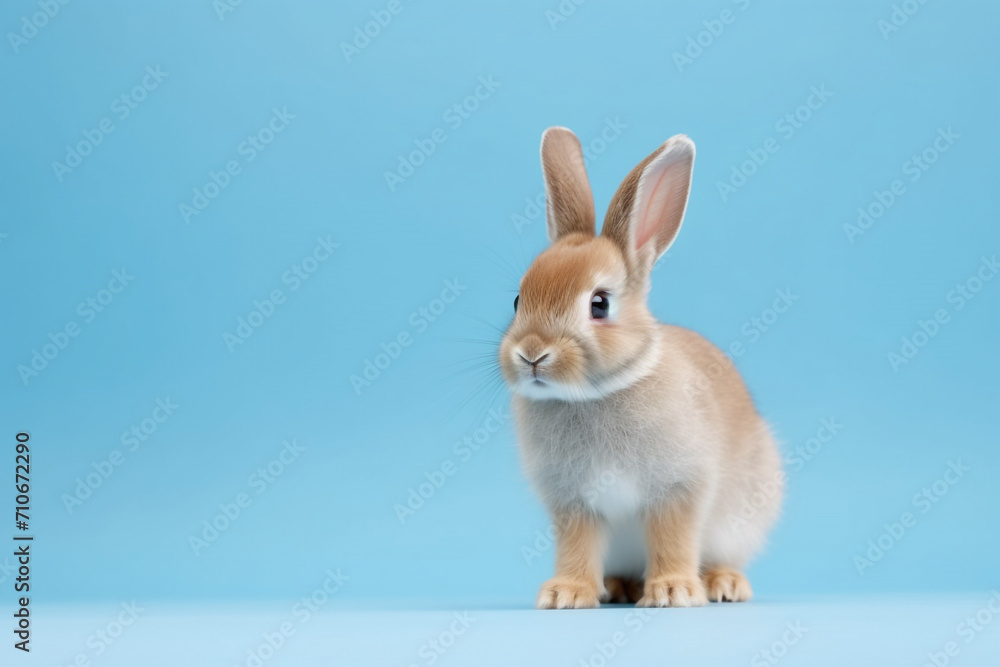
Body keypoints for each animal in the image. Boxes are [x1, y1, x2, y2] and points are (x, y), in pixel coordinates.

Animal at [498, 128, 783, 609]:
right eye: (519, 300)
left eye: (599, 304)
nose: (532, 353)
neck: (596, 394)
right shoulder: (575, 504)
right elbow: (577, 547)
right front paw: (566, 594)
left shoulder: (678, 489)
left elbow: (673, 538)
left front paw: (673, 592)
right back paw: (618, 588)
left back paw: (723, 585)